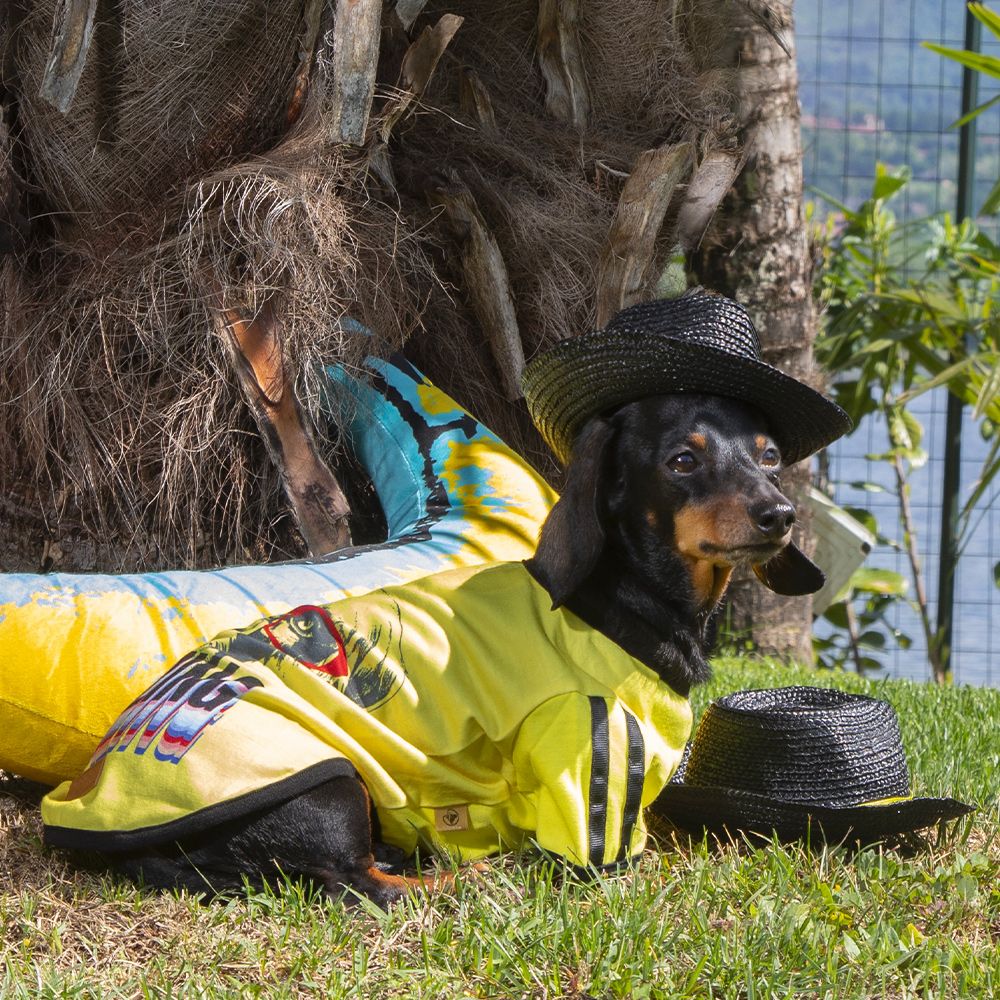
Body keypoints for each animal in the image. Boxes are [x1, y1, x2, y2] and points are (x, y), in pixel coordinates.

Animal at [41, 292, 852, 908]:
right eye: (683, 460)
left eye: (770, 456)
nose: (779, 515)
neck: (622, 599)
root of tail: (95, 793)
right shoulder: (589, 779)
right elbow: (651, 858)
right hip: (329, 786)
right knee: (360, 883)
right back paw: (466, 871)